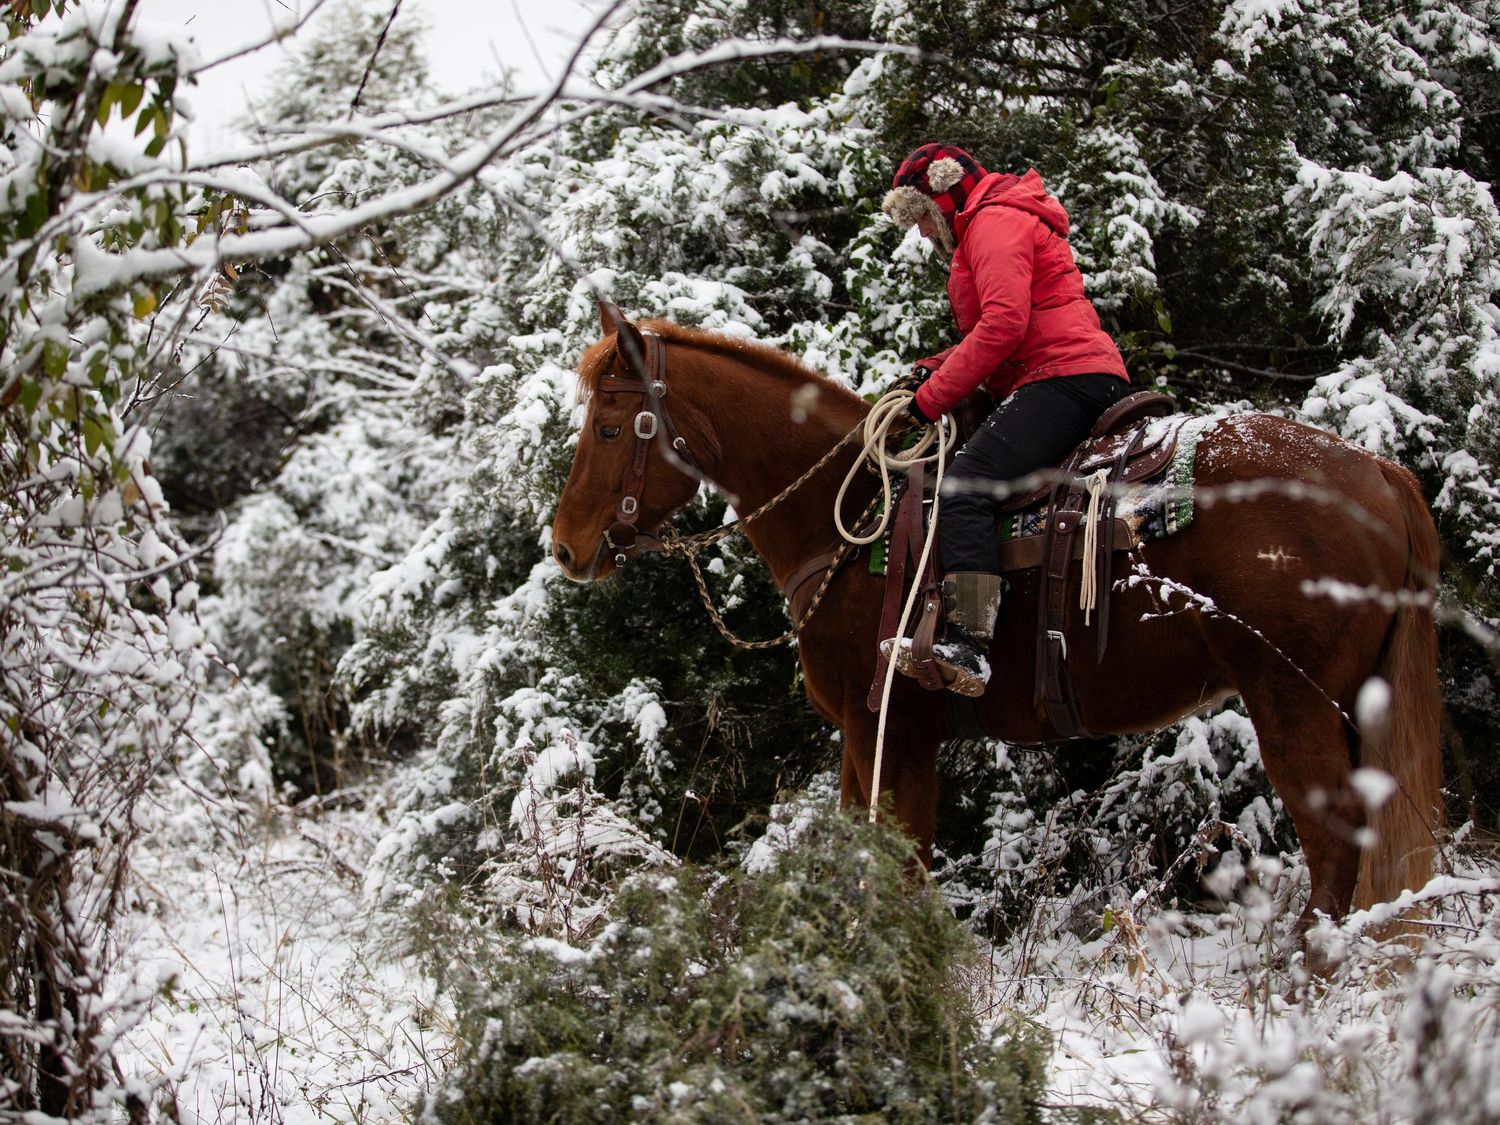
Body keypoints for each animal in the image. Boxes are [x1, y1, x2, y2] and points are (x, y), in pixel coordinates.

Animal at [550, 307, 1443, 935]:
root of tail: (1379, 472)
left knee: (1335, 850)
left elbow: (904, 869)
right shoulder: (865, 737)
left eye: (607, 425)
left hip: (1291, 701)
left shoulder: (898, 731)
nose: (566, 547)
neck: (855, 515)